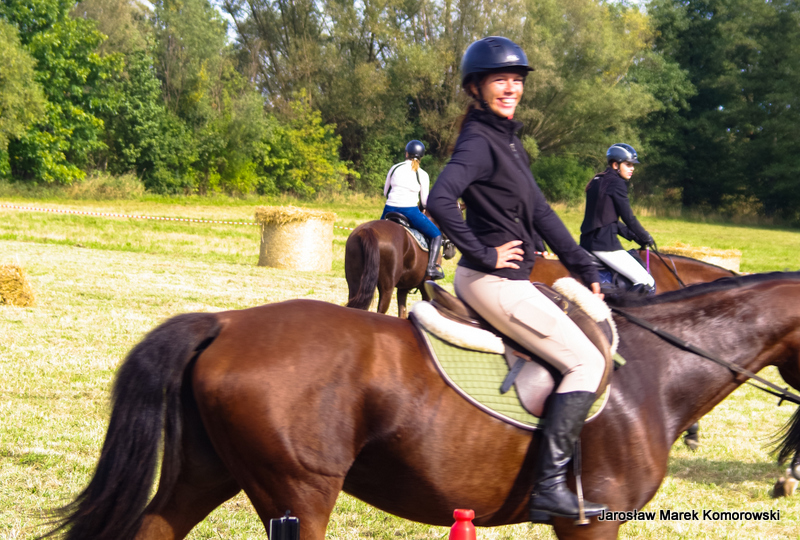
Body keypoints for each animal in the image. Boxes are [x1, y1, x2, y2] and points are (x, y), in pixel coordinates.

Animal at [41, 272, 800, 540]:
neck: (655, 371)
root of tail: (226, 323)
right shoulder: (591, 522)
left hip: (210, 472)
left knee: (155, 527)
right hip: (299, 491)